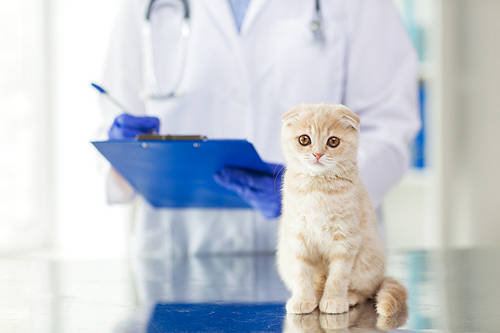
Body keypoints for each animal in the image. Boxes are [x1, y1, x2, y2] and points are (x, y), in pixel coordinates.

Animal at [278, 103, 406, 314]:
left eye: (333, 141)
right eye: (304, 139)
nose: (318, 154)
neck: (318, 186)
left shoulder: (345, 239)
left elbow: (337, 277)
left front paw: (334, 300)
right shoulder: (298, 236)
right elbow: (302, 273)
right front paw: (303, 299)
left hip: (367, 263)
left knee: (365, 291)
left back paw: (349, 297)